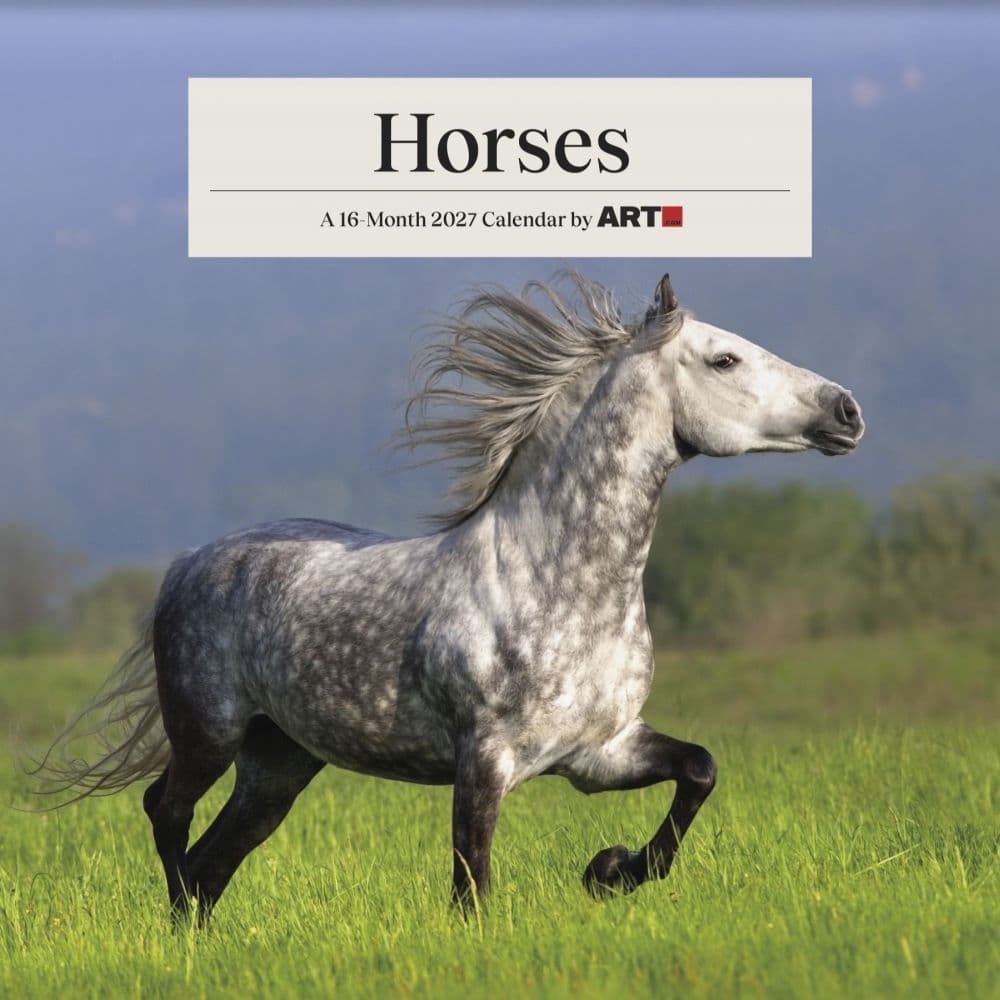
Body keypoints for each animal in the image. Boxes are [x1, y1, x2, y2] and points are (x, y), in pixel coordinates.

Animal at [38, 272, 864, 918]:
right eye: (724, 358)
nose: (846, 410)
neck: (558, 586)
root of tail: (189, 563)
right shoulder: (484, 761)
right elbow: (472, 888)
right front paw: (600, 874)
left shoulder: (599, 752)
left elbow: (699, 769)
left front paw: (611, 870)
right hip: (209, 732)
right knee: (167, 812)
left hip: (279, 764)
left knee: (215, 859)